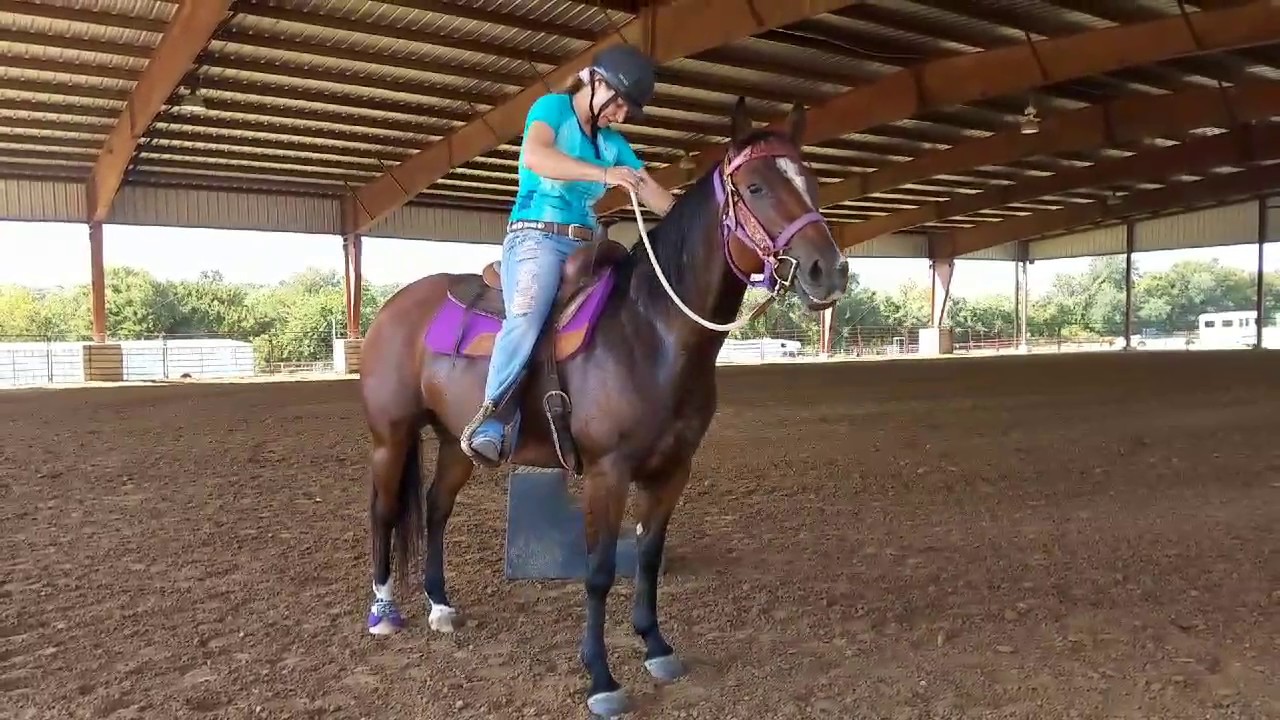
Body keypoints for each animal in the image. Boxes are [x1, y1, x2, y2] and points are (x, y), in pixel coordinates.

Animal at [357, 96, 850, 717]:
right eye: (756, 186)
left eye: (811, 181)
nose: (829, 270)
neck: (652, 331)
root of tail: (393, 306)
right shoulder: (606, 473)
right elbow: (597, 572)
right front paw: (601, 679)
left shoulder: (672, 471)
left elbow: (647, 557)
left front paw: (657, 647)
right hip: (390, 435)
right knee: (383, 511)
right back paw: (383, 612)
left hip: (455, 442)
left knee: (435, 509)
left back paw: (440, 607)